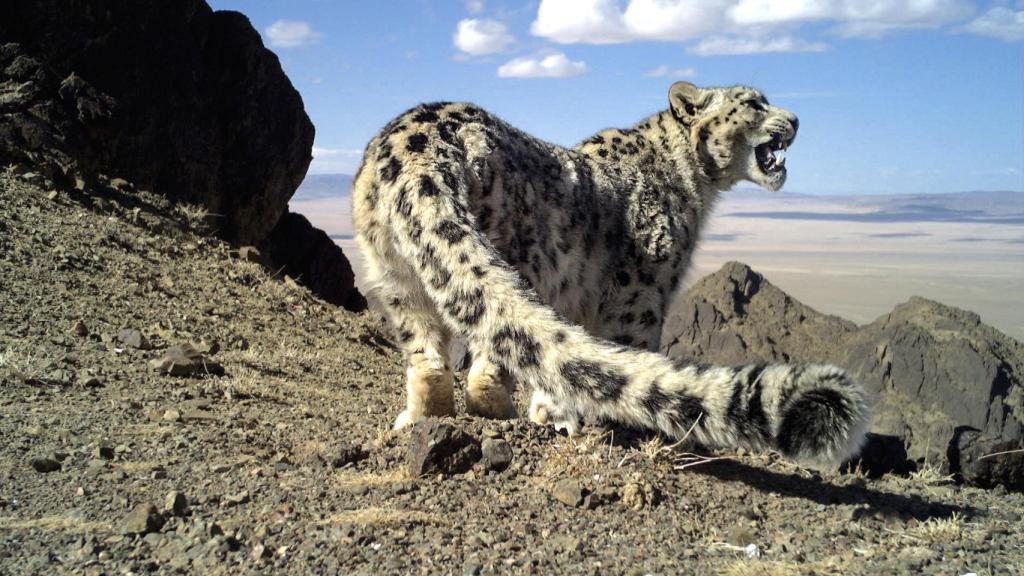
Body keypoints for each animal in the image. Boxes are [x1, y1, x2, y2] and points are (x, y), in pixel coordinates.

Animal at [352, 81, 871, 469]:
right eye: (755, 102)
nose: (797, 120)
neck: (695, 184)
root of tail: (415, 146)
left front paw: (552, 413)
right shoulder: (644, 294)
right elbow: (631, 350)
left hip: (394, 275)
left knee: (429, 355)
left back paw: (420, 417)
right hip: (523, 258)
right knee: (490, 358)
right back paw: (501, 415)